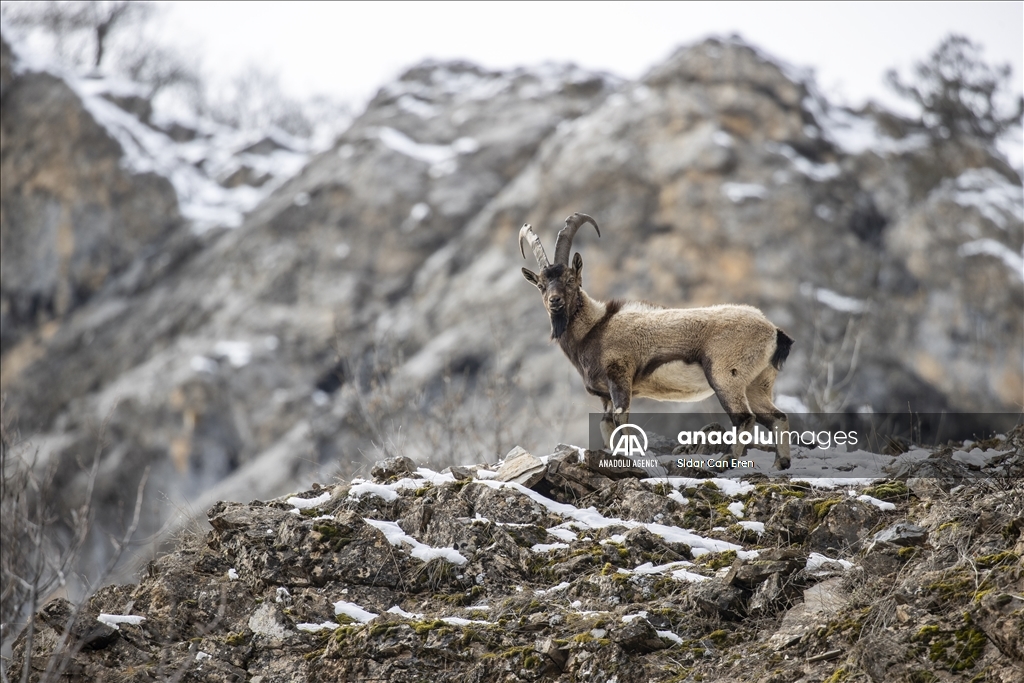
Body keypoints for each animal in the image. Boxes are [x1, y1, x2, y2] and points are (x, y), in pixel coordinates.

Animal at [516, 214, 794, 471]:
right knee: (777, 417)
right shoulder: (605, 395)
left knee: (745, 418)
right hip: (757, 384)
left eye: (570, 279)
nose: (555, 301)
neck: (596, 327)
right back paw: (781, 463)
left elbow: (621, 421)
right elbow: (606, 425)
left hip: (726, 377)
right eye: (541, 285)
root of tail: (773, 331)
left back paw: (725, 461)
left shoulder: (620, 378)